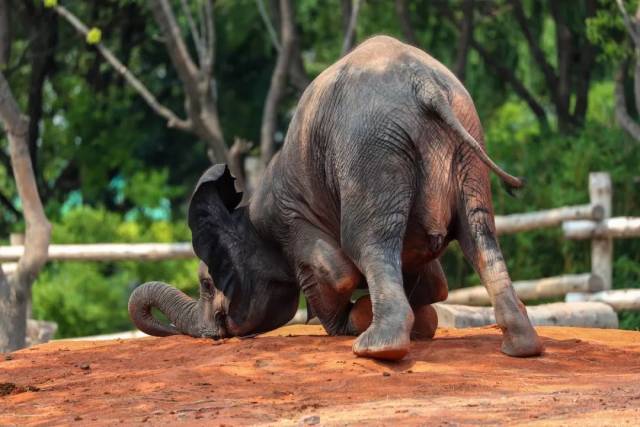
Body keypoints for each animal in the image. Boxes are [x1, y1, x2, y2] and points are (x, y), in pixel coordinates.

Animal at [127, 36, 544, 362]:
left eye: (206, 285)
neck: (248, 212)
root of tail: (425, 86)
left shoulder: (290, 220)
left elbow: (335, 274)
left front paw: (354, 320)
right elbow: (435, 283)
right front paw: (420, 320)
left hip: (371, 154)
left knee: (365, 242)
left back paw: (377, 348)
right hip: (465, 145)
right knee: (480, 234)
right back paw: (521, 347)